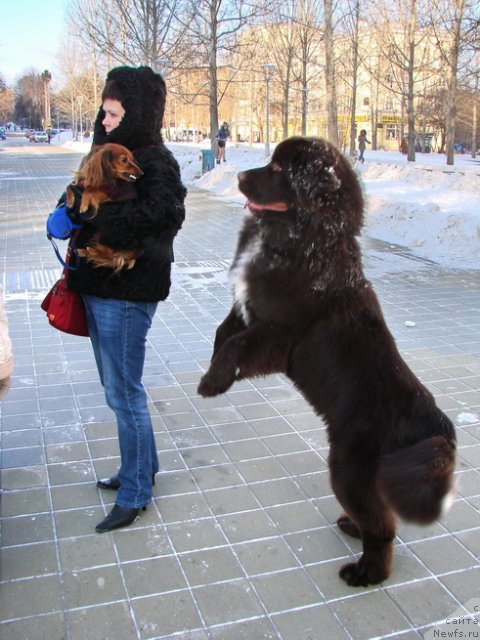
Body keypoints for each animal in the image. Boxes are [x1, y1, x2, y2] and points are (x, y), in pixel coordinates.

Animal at [197, 138, 456, 588]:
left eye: (279, 169)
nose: (240, 175)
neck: (307, 241)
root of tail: (433, 426)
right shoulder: (246, 308)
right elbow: (221, 333)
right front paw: (216, 375)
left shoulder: (279, 334)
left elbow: (236, 346)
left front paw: (212, 383)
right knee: (381, 514)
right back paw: (353, 529)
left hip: (347, 467)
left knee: (382, 528)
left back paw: (366, 571)